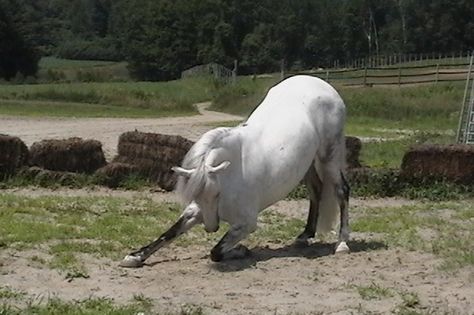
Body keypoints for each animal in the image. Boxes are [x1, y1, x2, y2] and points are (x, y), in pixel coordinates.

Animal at [120, 75, 350, 268]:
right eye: (197, 196)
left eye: (216, 194)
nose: (210, 227)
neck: (230, 177)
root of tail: (321, 83)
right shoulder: (195, 210)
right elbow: (169, 233)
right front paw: (134, 256)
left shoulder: (246, 223)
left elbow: (216, 252)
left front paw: (241, 250)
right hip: (308, 163)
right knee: (316, 192)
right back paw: (304, 236)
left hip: (329, 157)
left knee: (341, 191)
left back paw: (342, 243)